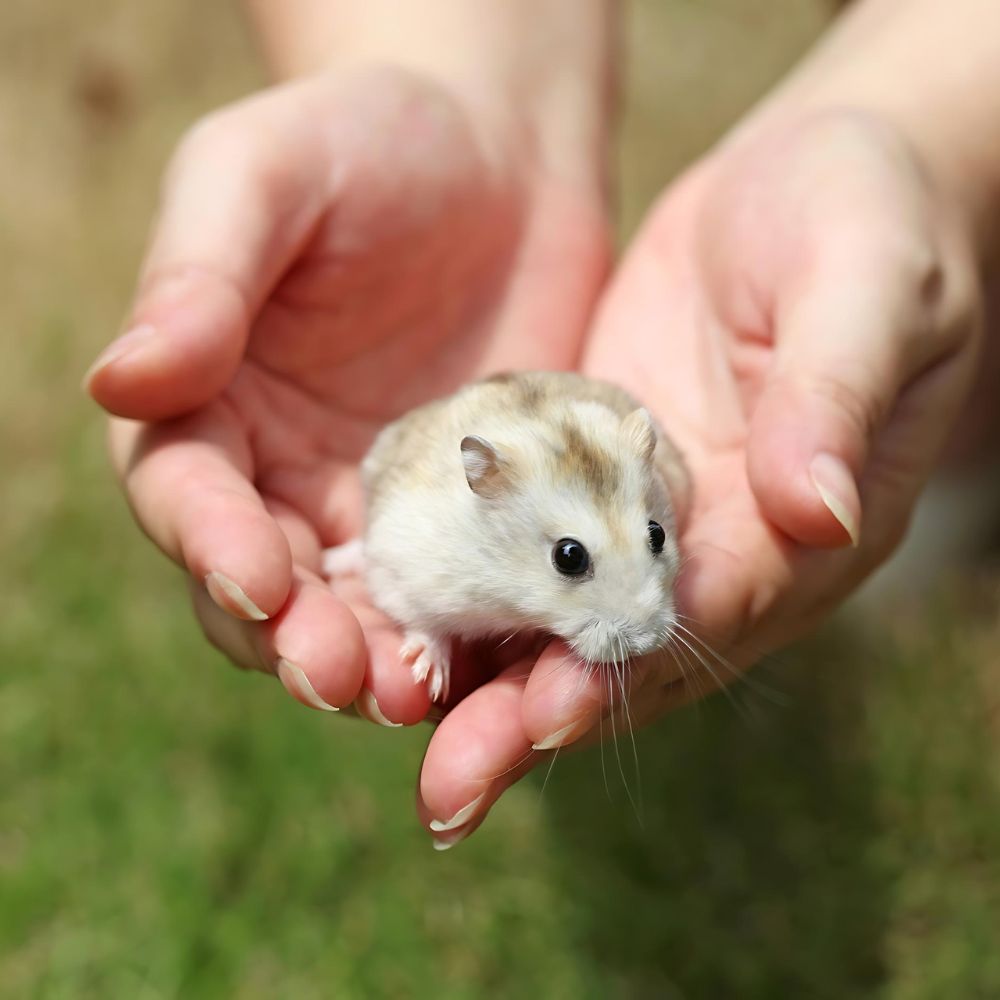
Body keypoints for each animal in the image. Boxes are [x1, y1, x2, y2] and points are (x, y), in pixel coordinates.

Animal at [324, 370, 692, 704]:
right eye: (569, 556)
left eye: (658, 534)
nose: (646, 643)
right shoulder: (402, 573)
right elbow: (424, 624)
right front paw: (429, 677)